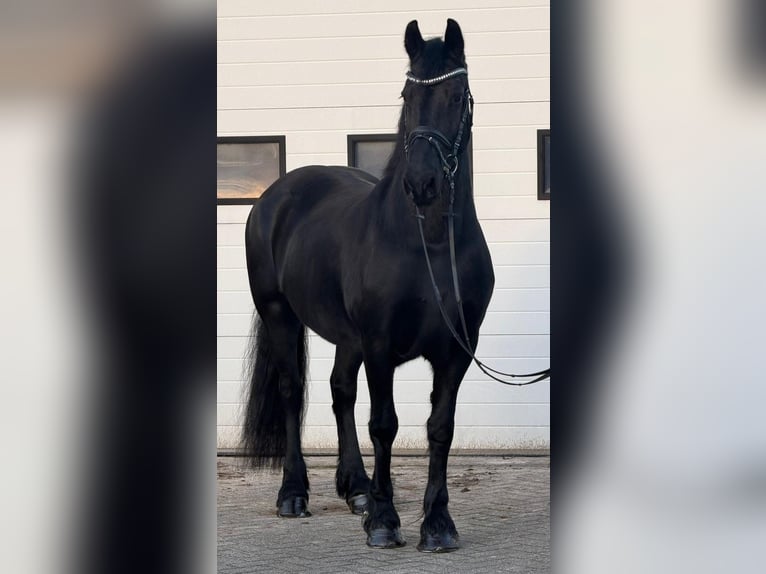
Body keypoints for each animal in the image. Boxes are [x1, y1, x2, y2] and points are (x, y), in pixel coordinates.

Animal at [242, 18, 494, 553]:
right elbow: (385, 425)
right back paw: (294, 494)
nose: (422, 183)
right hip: (280, 315)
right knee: (293, 392)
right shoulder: (380, 345)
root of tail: (274, 196)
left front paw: (436, 524)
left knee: (341, 391)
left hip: (346, 336)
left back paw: (355, 488)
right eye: (407, 93)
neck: (428, 245)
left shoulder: (457, 352)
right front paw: (383, 520)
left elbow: (440, 428)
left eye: (456, 95)